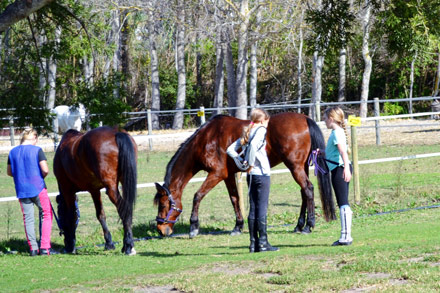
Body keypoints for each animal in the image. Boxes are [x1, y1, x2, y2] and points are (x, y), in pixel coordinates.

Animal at [54, 125, 138, 253]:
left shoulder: (67, 190)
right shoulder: (94, 190)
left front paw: (71, 245)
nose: (66, 244)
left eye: (59, 213)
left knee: (124, 209)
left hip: (111, 189)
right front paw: (109, 243)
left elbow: (71, 215)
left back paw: (128, 245)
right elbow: (100, 215)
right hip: (125, 181)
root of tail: (116, 132)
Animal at [153, 112, 336, 237]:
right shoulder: (228, 176)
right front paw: (238, 226)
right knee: (304, 192)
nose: (161, 229)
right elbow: (235, 199)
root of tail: (304, 119)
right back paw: (299, 225)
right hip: (301, 167)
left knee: (308, 189)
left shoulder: (216, 174)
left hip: (295, 167)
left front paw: (193, 227)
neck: (206, 139)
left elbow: (197, 196)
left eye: (163, 205)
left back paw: (308, 226)